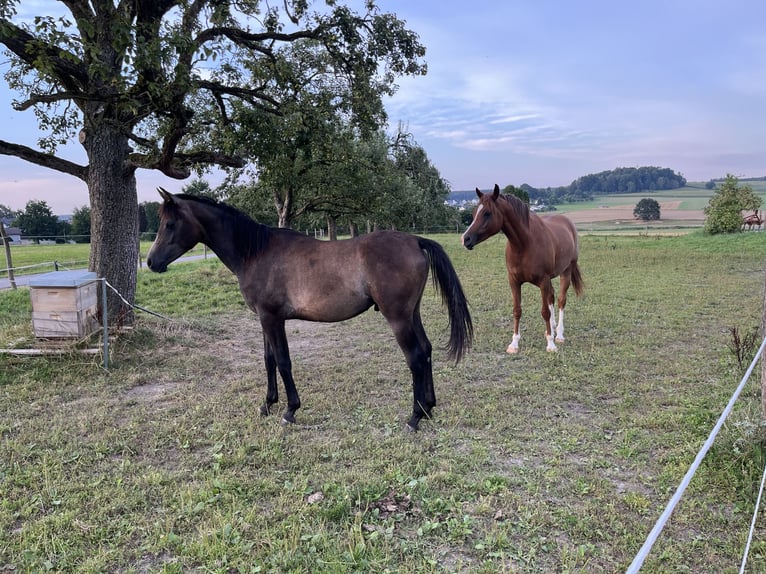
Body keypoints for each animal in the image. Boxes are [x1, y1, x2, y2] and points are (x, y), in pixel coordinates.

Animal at [146, 189, 474, 432]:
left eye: (170, 224)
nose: (150, 262)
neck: (256, 252)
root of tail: (415, 240)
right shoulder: (264, 320)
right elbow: (268, 361)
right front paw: (267, 404)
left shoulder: (272, 318)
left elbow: (283, 361)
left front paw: (290, 410)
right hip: (411, 313)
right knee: (427, 350)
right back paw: (428, 408)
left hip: (398, 318)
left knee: (415, 356)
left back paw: (414, 417)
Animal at [464, 187, 584, 354]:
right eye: (474, 212)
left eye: (487, 213)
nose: (466, 239)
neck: (524, 244)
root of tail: (568, 223)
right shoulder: (514, 281)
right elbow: (517, 310)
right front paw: (514, 344)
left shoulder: (543, 281)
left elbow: (545, 312)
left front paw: (550, 344)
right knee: (552, 297)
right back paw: (552, 329)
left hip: (566, 272)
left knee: (561, 300)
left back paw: (559, 334)